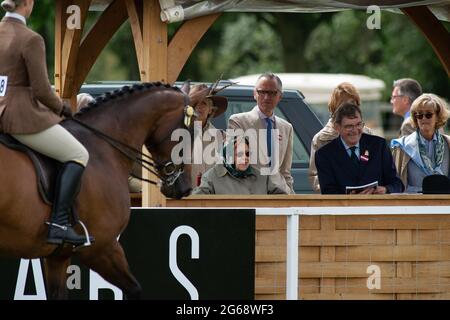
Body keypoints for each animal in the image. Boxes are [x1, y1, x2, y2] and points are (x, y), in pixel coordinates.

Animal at [0, 81, 197, 298]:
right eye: (188, 134)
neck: (102, 148)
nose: (186, 187)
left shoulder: (58, 257)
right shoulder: (102, 248)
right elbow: (135, 290)